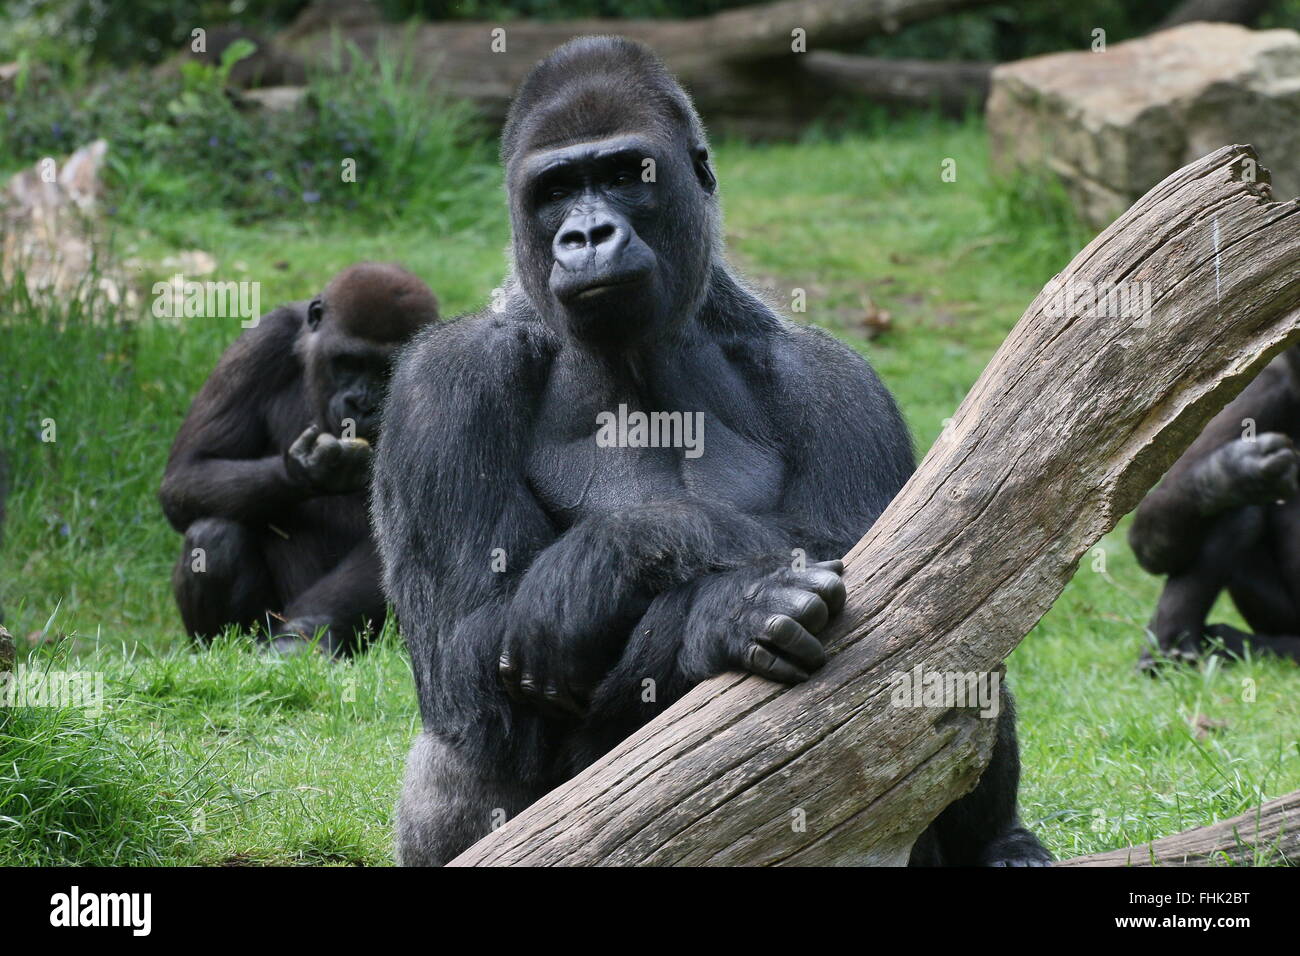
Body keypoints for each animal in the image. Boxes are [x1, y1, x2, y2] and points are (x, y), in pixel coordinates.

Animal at [158, 264, 436, 658]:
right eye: (347, 362)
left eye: (386, 370)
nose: (362, 404)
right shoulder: (263, 341)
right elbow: (188, 471)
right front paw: (307, 471)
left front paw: (304, 632)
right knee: (212, 536)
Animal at [371, 37, 1050, 868]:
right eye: (556, 189)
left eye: (625, 176)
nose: (587, 236)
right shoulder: (440, 387)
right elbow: (466, 656)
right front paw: (716, 601)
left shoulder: (835, 379)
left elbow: (912, 574)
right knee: (463, 742)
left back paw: (1001, 842)